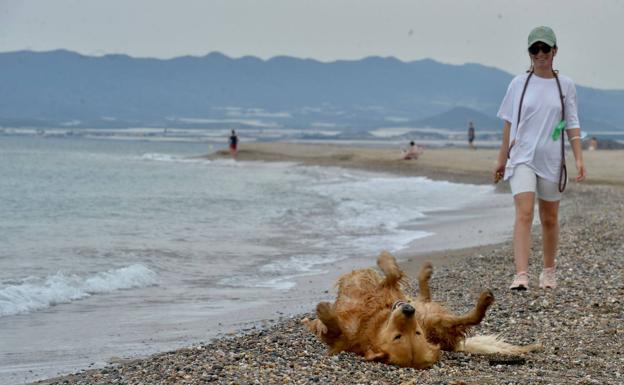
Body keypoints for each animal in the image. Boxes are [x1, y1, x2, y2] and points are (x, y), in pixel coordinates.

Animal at [302, 250, 536, 368]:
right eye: (398, 336)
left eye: (416, 334)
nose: (408, 311)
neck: (372, 322)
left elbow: (392, 273)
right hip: (429, 315)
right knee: (426, 296)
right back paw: (426, 272)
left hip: (434, 320)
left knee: (470, 318)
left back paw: (482, 301)